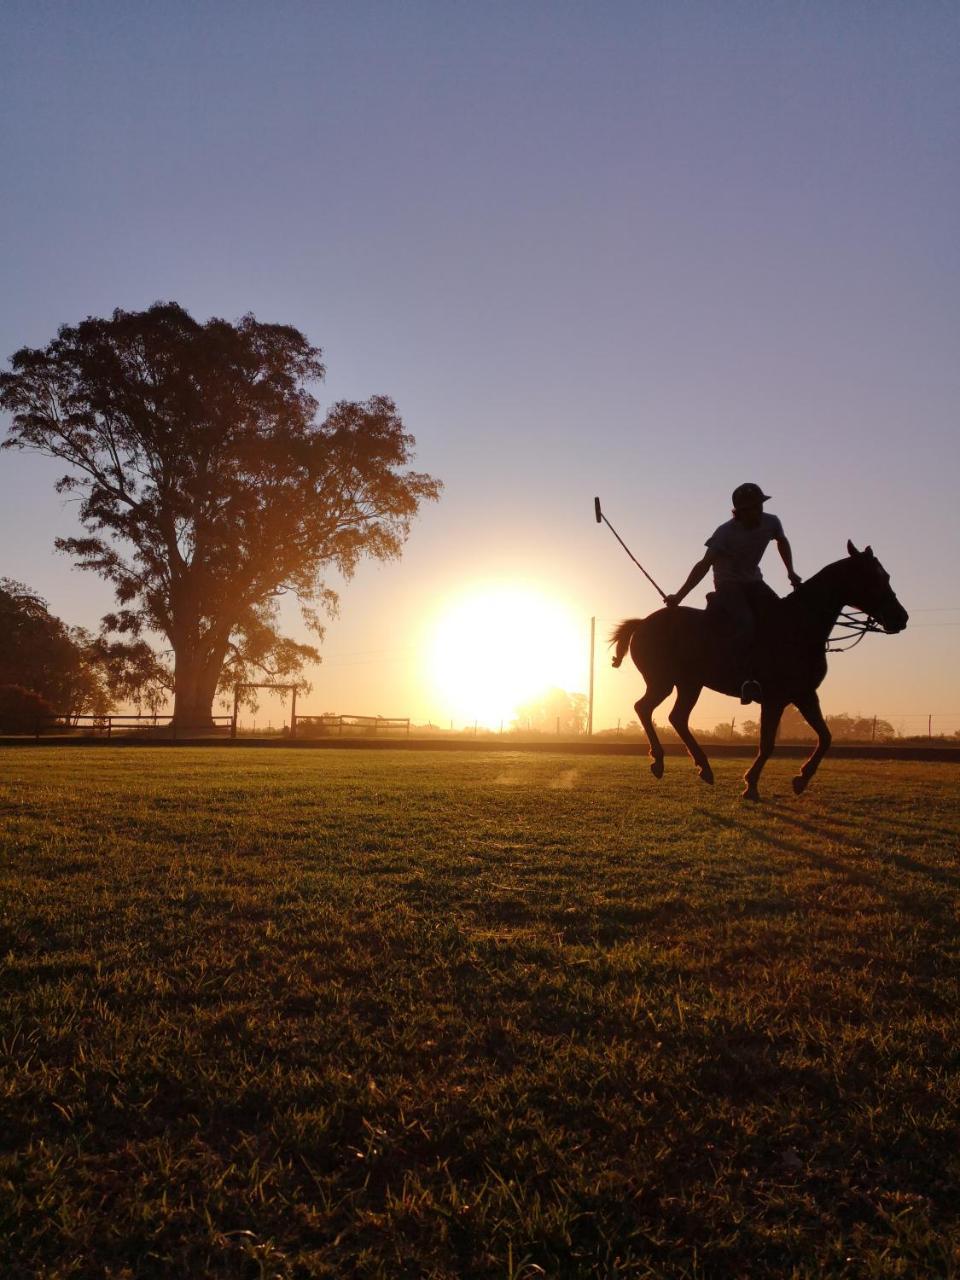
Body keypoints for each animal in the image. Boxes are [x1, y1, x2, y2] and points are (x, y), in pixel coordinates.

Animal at [616, 540, 911, 798]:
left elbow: (826, 737)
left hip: (689, 683)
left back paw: (703, 767)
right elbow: (767, 744)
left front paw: (801, 779)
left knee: (676, 717)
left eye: (886, 575)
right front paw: (751, 785)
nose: (901, 617)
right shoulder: (774, 698)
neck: (798, 626)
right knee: (644, 708)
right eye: (874, 578)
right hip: (663, 681)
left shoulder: (805, 694)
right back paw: (660, 761)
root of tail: (641, 623)